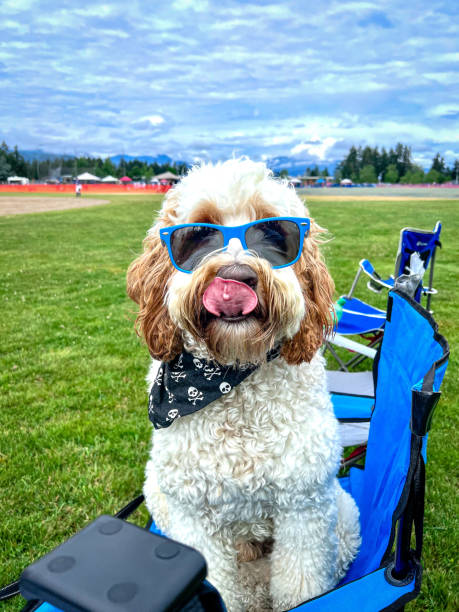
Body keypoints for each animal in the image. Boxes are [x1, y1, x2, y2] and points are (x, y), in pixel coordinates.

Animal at [127, 159, 362, 612]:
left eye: (273, 233)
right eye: (198, 233)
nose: (236, 277)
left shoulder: (304, 504)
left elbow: (300, 586)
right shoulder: (193, 515)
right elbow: (218, 585)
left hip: (342, 513)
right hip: (159, 493)